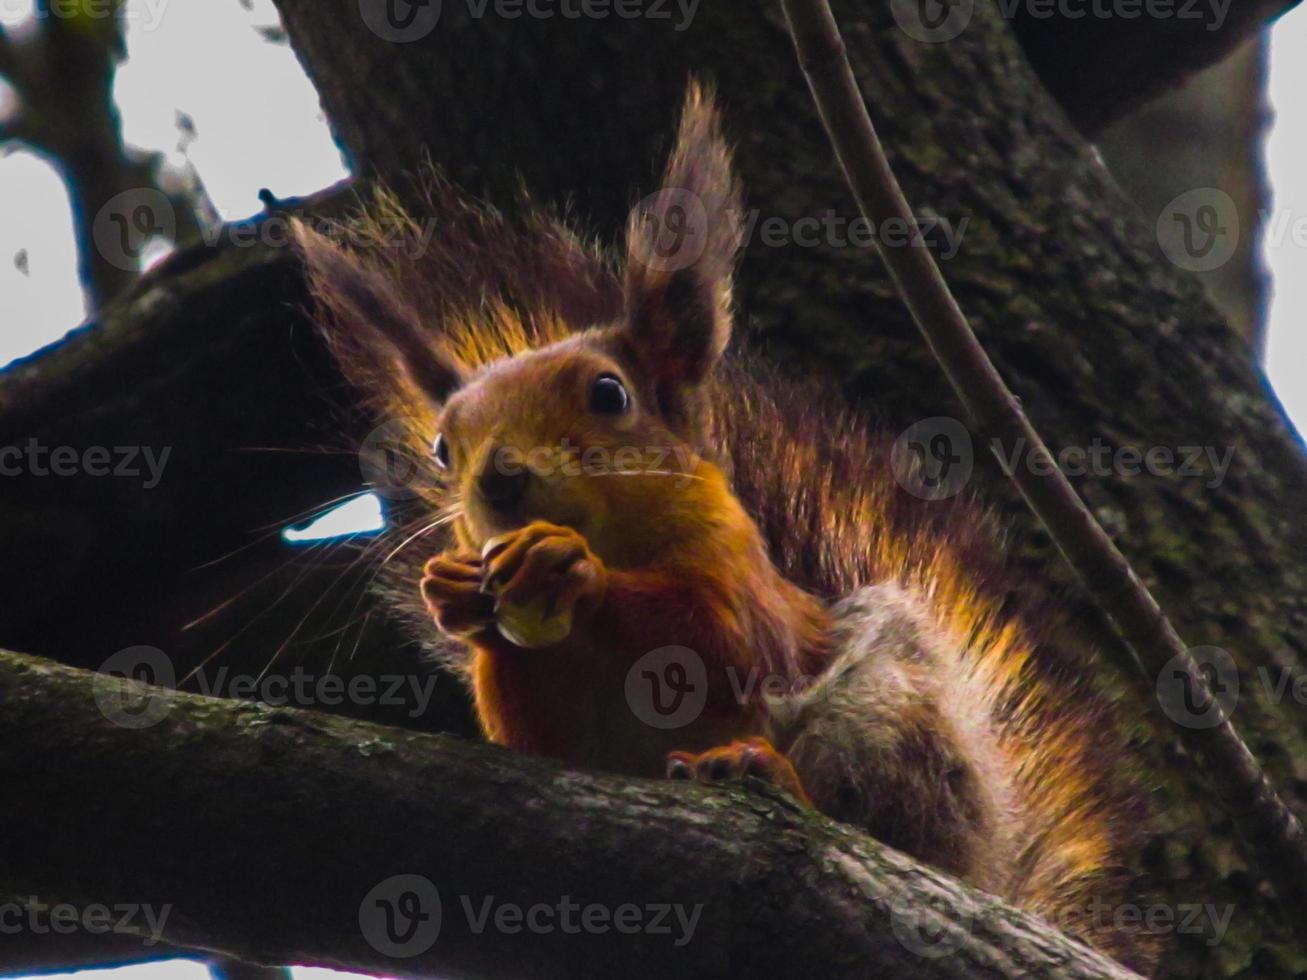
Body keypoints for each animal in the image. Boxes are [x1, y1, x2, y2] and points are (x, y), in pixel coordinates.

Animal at [294, 86, 1155, 977]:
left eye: (608, 394)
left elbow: (723, 643)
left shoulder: (744, 582)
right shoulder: (557, 740)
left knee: (873, 812)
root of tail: (982, 867)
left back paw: (769, 773)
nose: (497, 480)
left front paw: (577, 572)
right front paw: (458, 597)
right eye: (442, 445)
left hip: (891, 721)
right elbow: (534, 738)